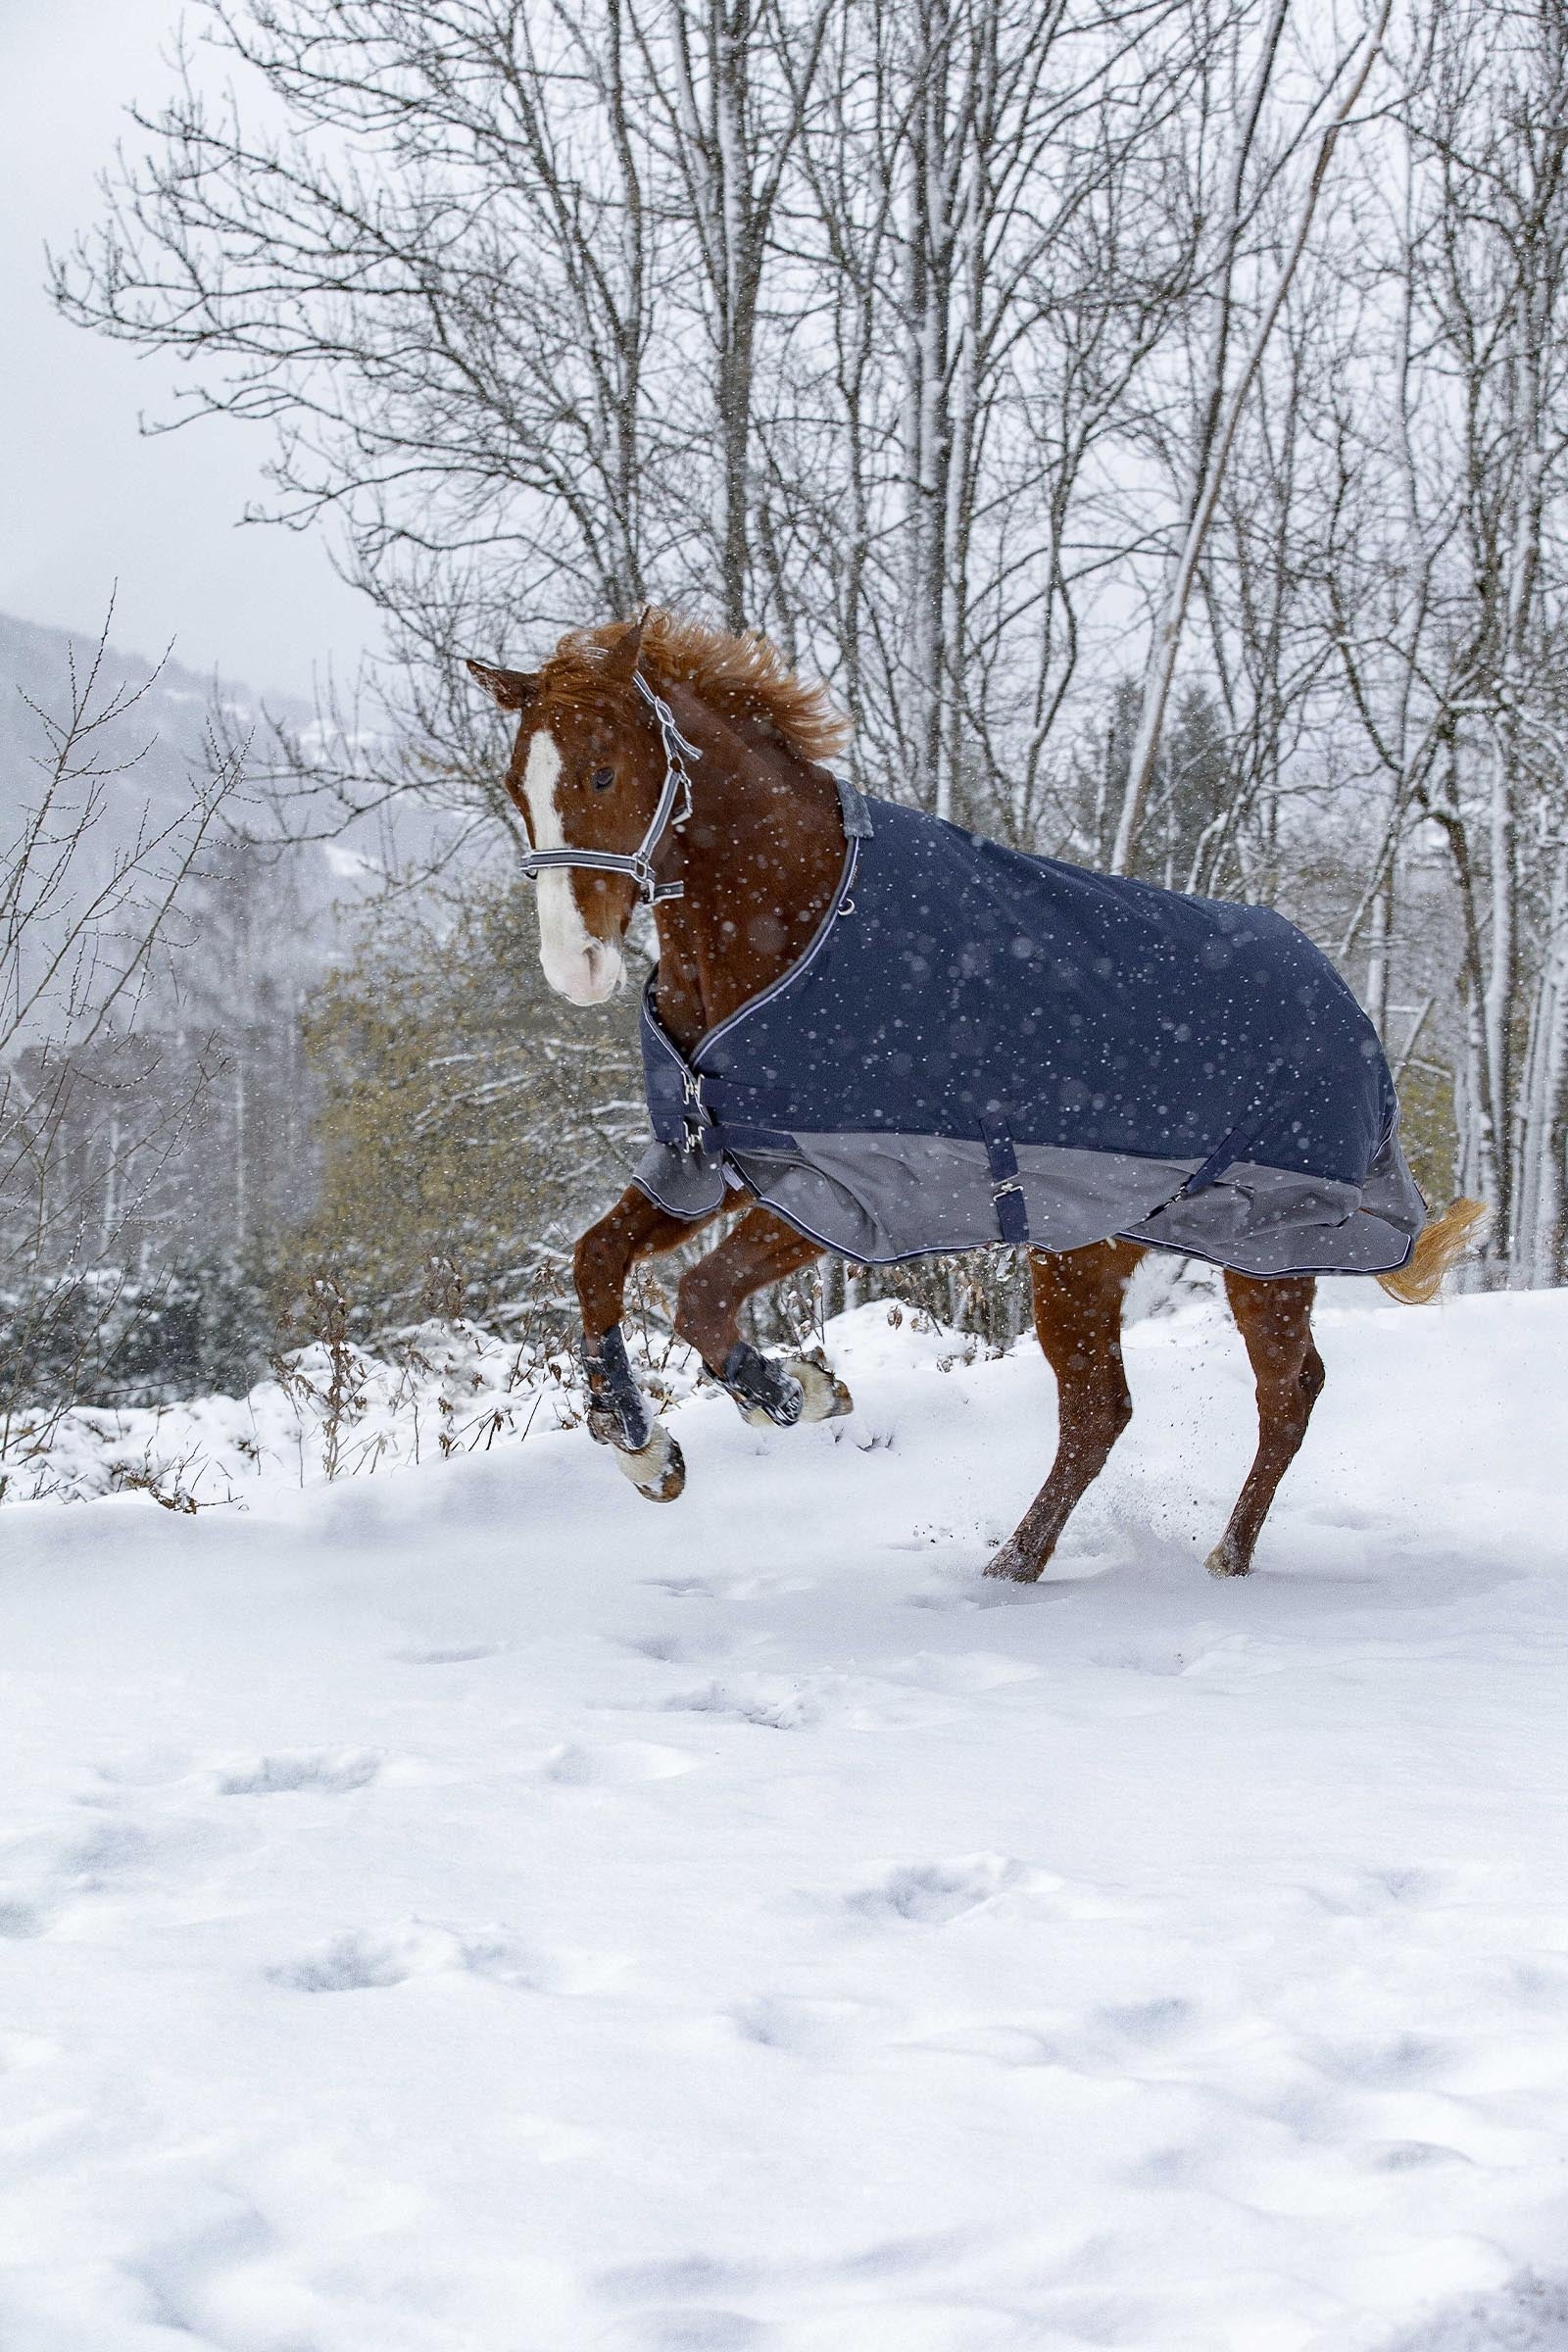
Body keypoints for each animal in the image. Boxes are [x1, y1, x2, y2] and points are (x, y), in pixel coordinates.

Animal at [467, 611, 1484, 1583]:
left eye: (603, 772)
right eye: (519, 783)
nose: (576, 967)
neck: (796, 922)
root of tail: (1346, 1003)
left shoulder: (849, 1185)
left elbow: (702, 1298)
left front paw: (795, 1392)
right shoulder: (711, 1155)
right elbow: (597, 1260)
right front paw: (642, 1445)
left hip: (1268, 1250)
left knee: (1285, 1395)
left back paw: (1220, 1559)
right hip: (1084, 1251)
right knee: (1101, 1412)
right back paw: (1017, 1563)